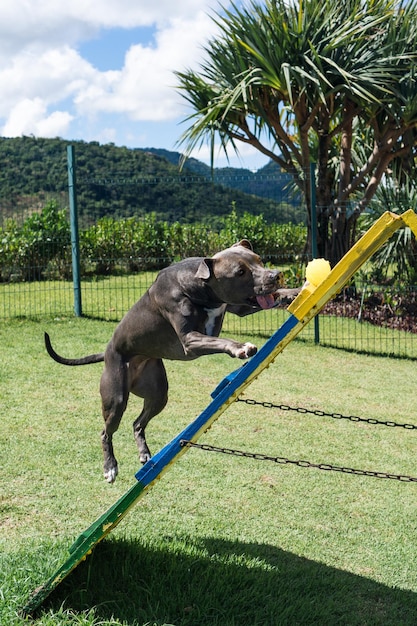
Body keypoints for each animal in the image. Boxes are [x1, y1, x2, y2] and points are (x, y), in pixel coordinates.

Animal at [45, 239, 284, 482]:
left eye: (259, 260)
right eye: (240, 272)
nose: (276, 275)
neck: (200, 288)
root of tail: (107, 351)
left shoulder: (237, 306)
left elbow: (276, 298)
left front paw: (293, 292)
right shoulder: (190, 341)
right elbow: (221, 340)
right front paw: (240, 347)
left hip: (158, 393)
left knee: (137, 423)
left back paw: (143, 453)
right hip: (116, 397)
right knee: (106, 432)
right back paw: (109, 467)